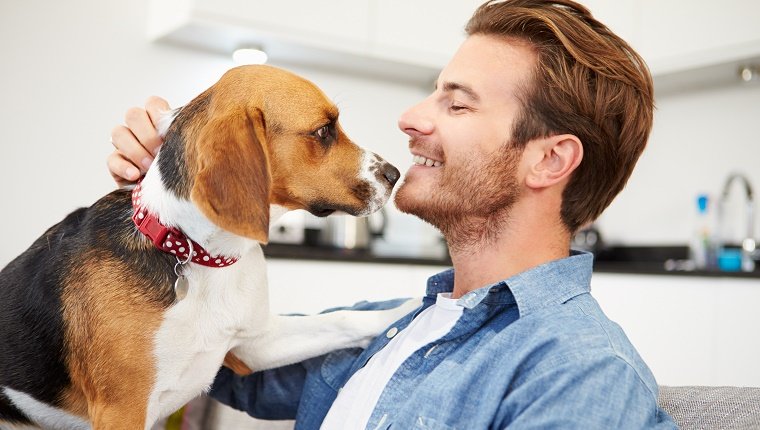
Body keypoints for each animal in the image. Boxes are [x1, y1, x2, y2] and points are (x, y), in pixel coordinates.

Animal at [0, 64, 418, 430]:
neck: (199, 256)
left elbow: (345, 319)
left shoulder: (256, 344)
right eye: (324, 130)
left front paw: (411, 306)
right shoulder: (122, 410)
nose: (395, 174)